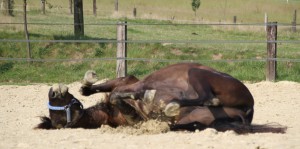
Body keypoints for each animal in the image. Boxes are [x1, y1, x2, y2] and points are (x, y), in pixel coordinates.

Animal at [36, 62, 288, 134]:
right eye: (56, 119)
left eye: (56, 106)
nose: (52, 92)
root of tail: (249, 106)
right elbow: (120, 97)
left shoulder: (127, 80)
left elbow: (95, 90)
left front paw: (87, 82)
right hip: (199, 119)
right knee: (206, 103)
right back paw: (171, 108)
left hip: (197, 73)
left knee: (206, 97)